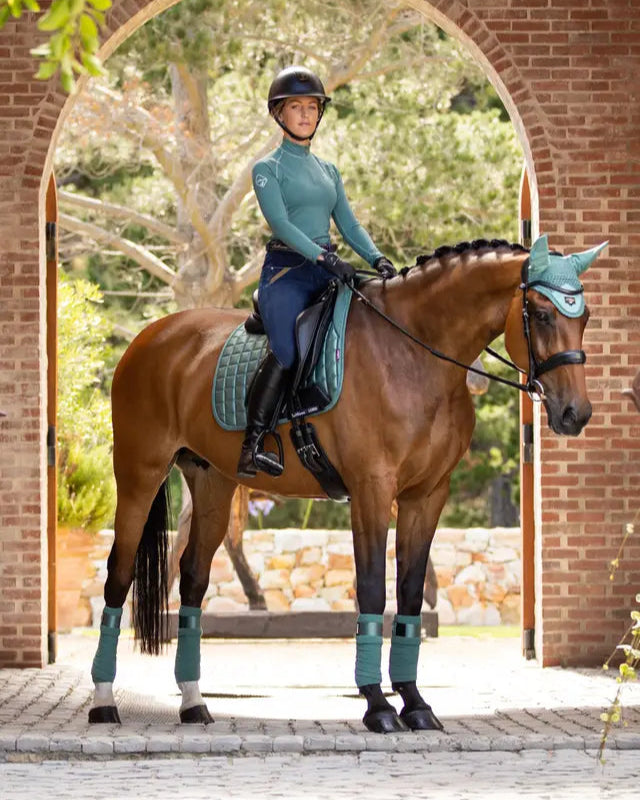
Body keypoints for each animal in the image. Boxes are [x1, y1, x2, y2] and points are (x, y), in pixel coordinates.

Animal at [88, 235, 604, 733]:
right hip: (139, 475)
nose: (575, 415)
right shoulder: (372, 490)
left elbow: (410, 595)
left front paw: (415, 703)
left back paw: (194, 703)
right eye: (541, 314)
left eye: (585, 317)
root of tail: (151, 336)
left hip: (213, 483)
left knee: (194, 577)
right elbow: (373, 589)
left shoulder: (426, 496)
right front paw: (378, 706)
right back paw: (103, 702)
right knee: (119, 575)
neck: (415, 354)